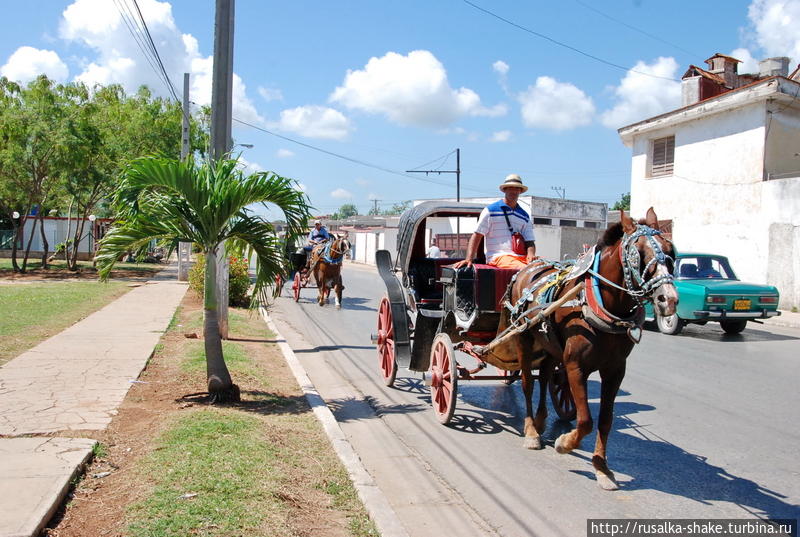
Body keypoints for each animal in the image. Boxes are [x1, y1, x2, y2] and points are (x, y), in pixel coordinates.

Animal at [496, 206, 680, 490]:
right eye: (638, 253)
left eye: (671, 251)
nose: (668, 300)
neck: (597, 303)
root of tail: (527, 268)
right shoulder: (575, 366)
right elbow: (585, 420)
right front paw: (564, 443)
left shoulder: (615, 371)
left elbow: (605, 420)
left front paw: (602, 468)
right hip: (523, 338)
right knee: (527, 383)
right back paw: (531, 431)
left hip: (549, 345)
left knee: (545, 376)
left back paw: (541, 419)